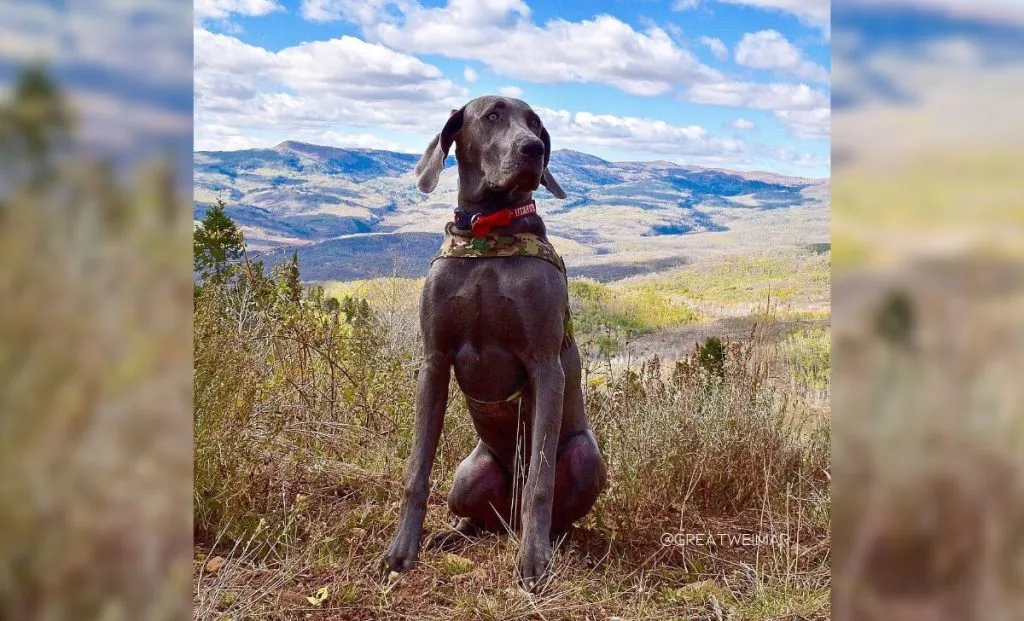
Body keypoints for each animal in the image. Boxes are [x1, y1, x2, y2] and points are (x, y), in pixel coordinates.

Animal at [385, 94, 606, 590]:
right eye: (492, 116)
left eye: (537, 125)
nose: (533, 150)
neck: (489, 233)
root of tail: (508, 519)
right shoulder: (434, 361)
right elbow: (416, 471)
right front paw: (402, 551)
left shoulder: (546, 365)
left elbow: (541, 482)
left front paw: (533, 562)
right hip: (469, 475)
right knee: (478, 518)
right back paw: (453, 533)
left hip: (587, 457)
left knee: (548, 513)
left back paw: (545, 543)